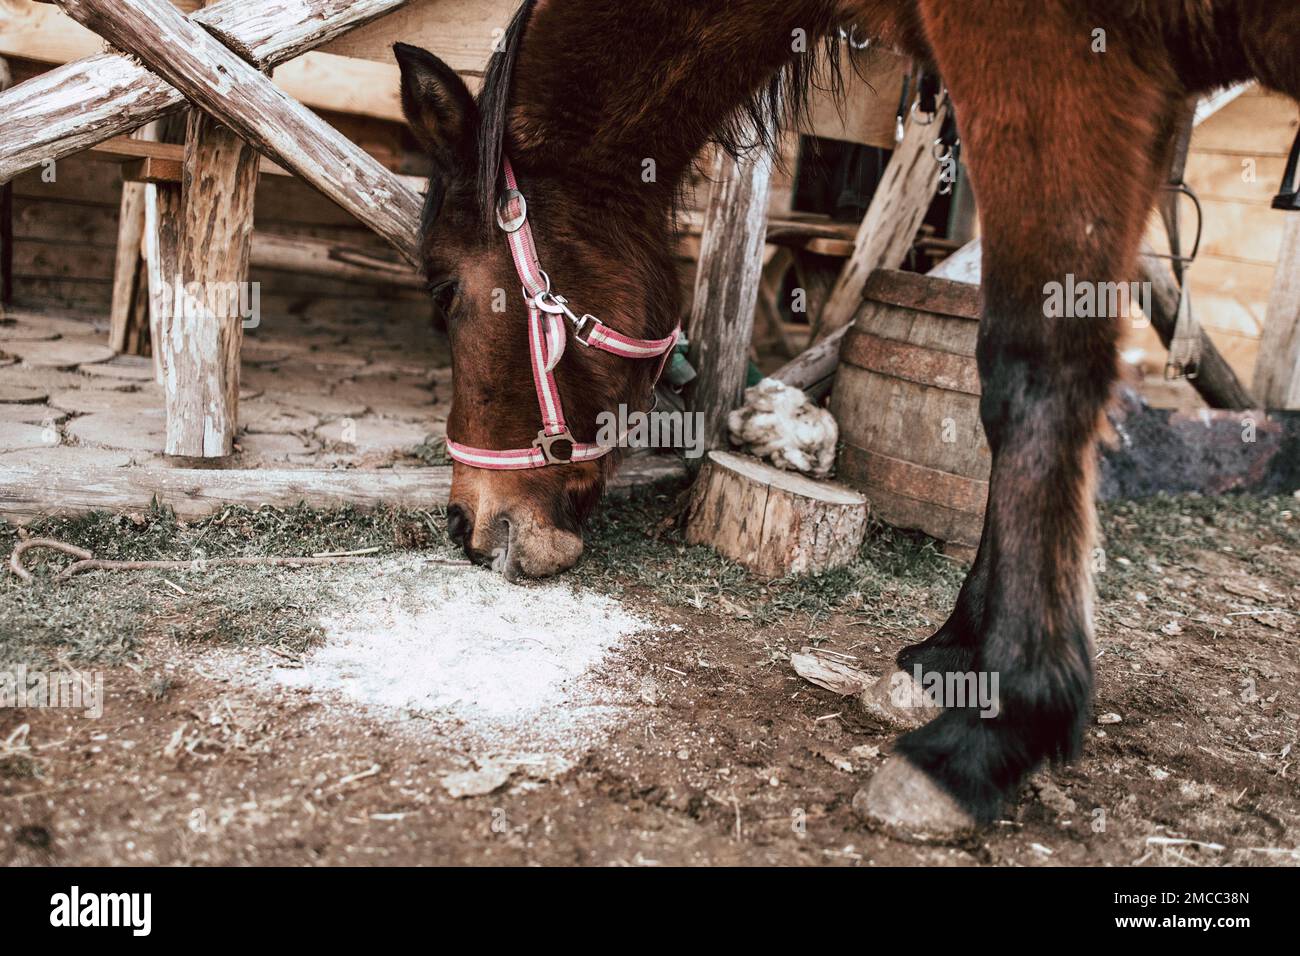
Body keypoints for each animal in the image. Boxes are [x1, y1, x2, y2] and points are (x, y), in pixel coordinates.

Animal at [395, 0, 1300, 837]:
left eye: (443, 288)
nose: (463, 520)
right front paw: (948, 660)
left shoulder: (1053, 60)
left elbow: (1029, 377)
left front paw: (990, 733)